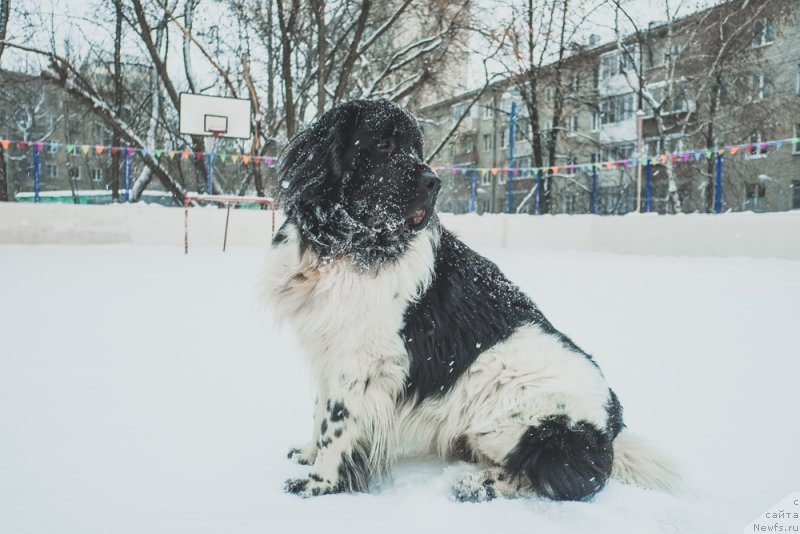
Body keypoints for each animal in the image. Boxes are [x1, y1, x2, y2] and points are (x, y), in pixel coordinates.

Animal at [268, 98, 676, 504]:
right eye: (384, 144)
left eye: (416, 149)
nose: (434, 182)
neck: (349, 244)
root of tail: (611, 425)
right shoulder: (329, 348)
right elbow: (321, 411)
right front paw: (308, 454)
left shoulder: (362, 360)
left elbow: (337, 424)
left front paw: (319, 484)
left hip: (513, 414)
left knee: (554, 476)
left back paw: (480, 485)